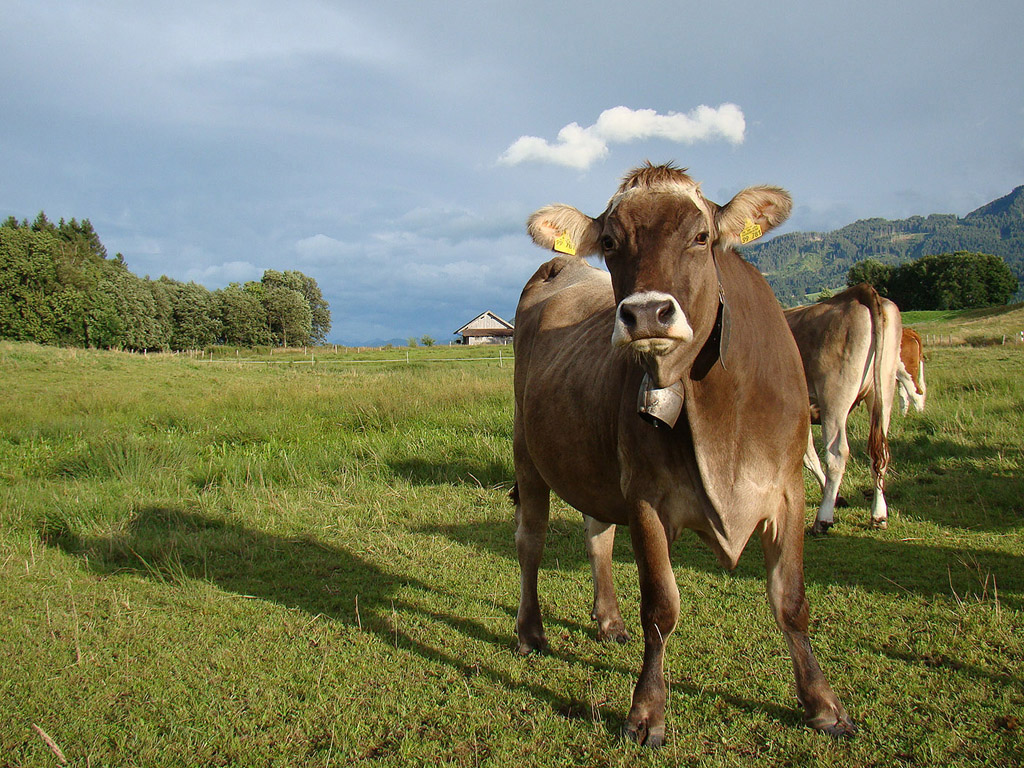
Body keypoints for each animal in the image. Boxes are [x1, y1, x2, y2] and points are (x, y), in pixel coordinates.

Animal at [512, 162, 856, 745]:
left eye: (700, 237)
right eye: (610, 241)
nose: (647, 313)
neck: (725, 416)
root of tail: (560, 264)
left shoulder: (788, 491)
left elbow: (791, 601)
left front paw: (823, 704)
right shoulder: (647, 499)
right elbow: (660, 607)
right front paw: (647, 711)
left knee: (597, 536)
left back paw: (608, 621)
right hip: (527, 453)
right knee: (531, 541)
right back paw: (531, 631)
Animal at [786, 284, 901, 536]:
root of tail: (858, 292)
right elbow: (808, 456)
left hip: (835, 395)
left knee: (837, 454)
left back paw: (823, 519)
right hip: (882, 391)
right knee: (880, 453)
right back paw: (878, 515)